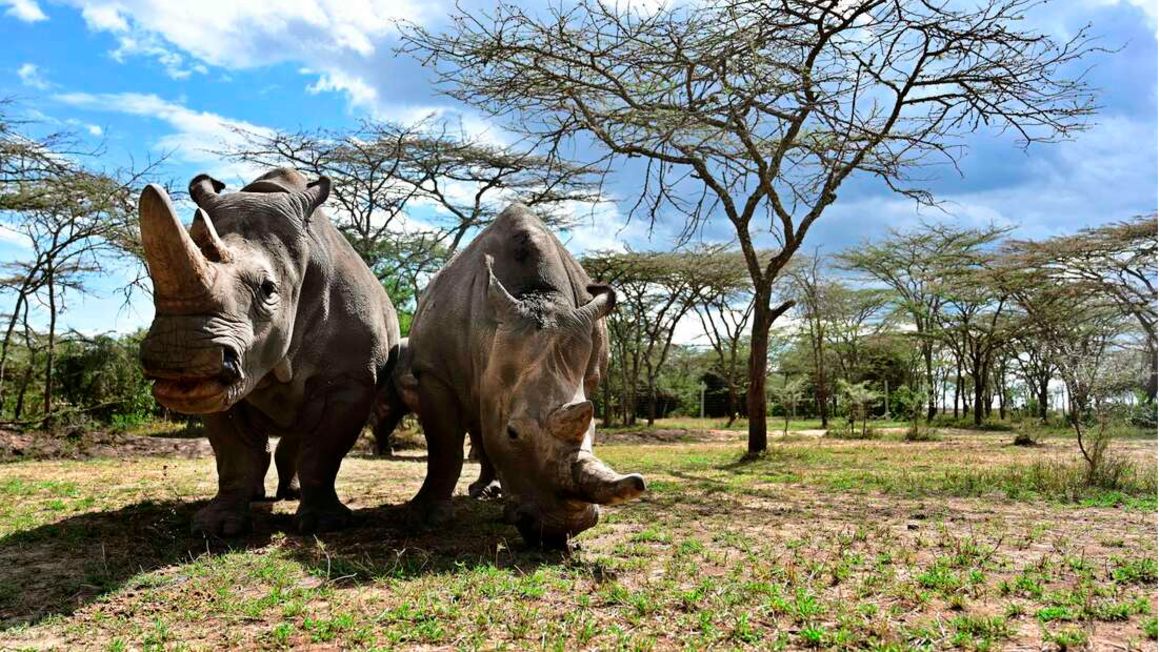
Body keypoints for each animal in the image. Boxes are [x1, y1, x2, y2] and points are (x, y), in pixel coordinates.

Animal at [138, 165, 401, 533]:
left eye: (268, 289)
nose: (181, 358)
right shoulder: (217, 386)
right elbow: (233, 452)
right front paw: (218, 526)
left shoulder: (351, 379)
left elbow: (322, 450)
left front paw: (323, 524)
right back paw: (257, 495)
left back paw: (292, 495)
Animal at [380, 201, 649, 542]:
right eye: (512, 433)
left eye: (594, 430)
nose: (562, 529)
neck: (535, 294)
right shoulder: (433, 371)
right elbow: (445, 446)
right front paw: (423, 518)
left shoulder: (589, 376)